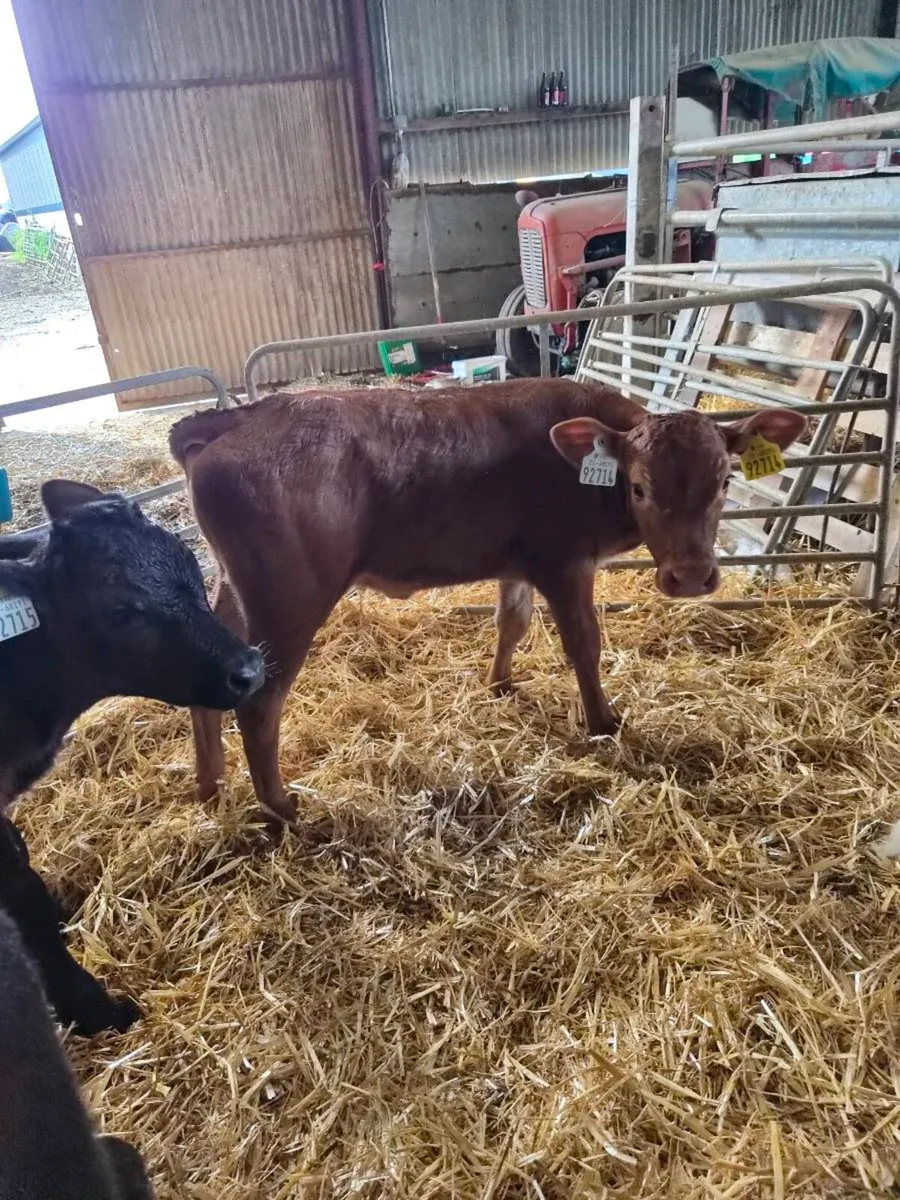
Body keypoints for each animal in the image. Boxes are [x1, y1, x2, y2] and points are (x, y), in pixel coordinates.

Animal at [169, 379, 806, 825]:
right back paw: (281, 807)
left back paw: (210, 786)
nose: (691, 578)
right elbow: (584, 643)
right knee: (261, 701)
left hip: (235, 590)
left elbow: (512, 621)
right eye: (640, 486)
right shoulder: (562, 560)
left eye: (725, 482)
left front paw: (500, 684)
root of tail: (247, 415)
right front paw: (603, 723)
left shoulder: (516, 563)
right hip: (289, 598)